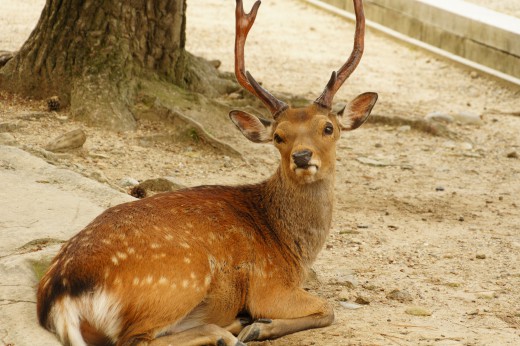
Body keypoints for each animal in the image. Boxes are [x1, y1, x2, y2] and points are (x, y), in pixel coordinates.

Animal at [36, 0, 378, 346]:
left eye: (328, 127)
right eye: (279, 136)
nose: (302, 156)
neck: (292, 249)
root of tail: (62, 296)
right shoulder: (269, 285)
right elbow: (328, 309)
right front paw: (261, 325)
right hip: (181, 277)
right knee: (136, 339)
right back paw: (229, 331)